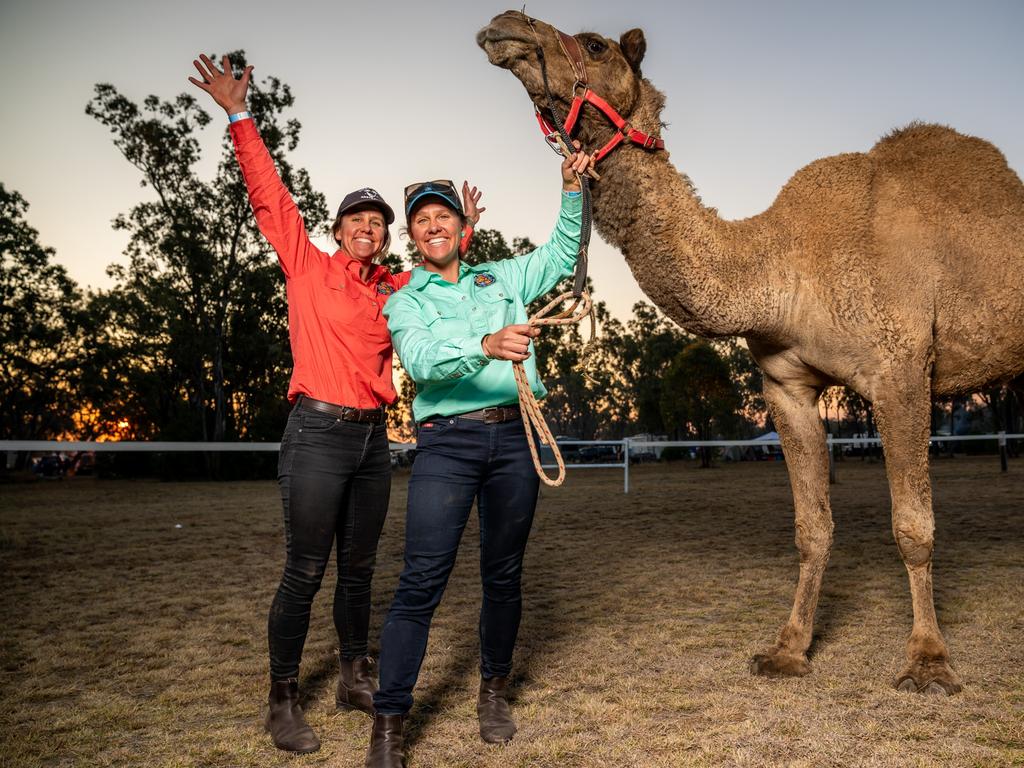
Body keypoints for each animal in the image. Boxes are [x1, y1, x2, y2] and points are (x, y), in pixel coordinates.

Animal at [477, 10, 1024, 696]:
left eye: (596, 45)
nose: (505, 25)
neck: (782, 266)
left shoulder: (901, 368)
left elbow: (913, 526)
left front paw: (927, 660)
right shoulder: (785, 385)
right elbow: (812, 528)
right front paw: (788, 649)